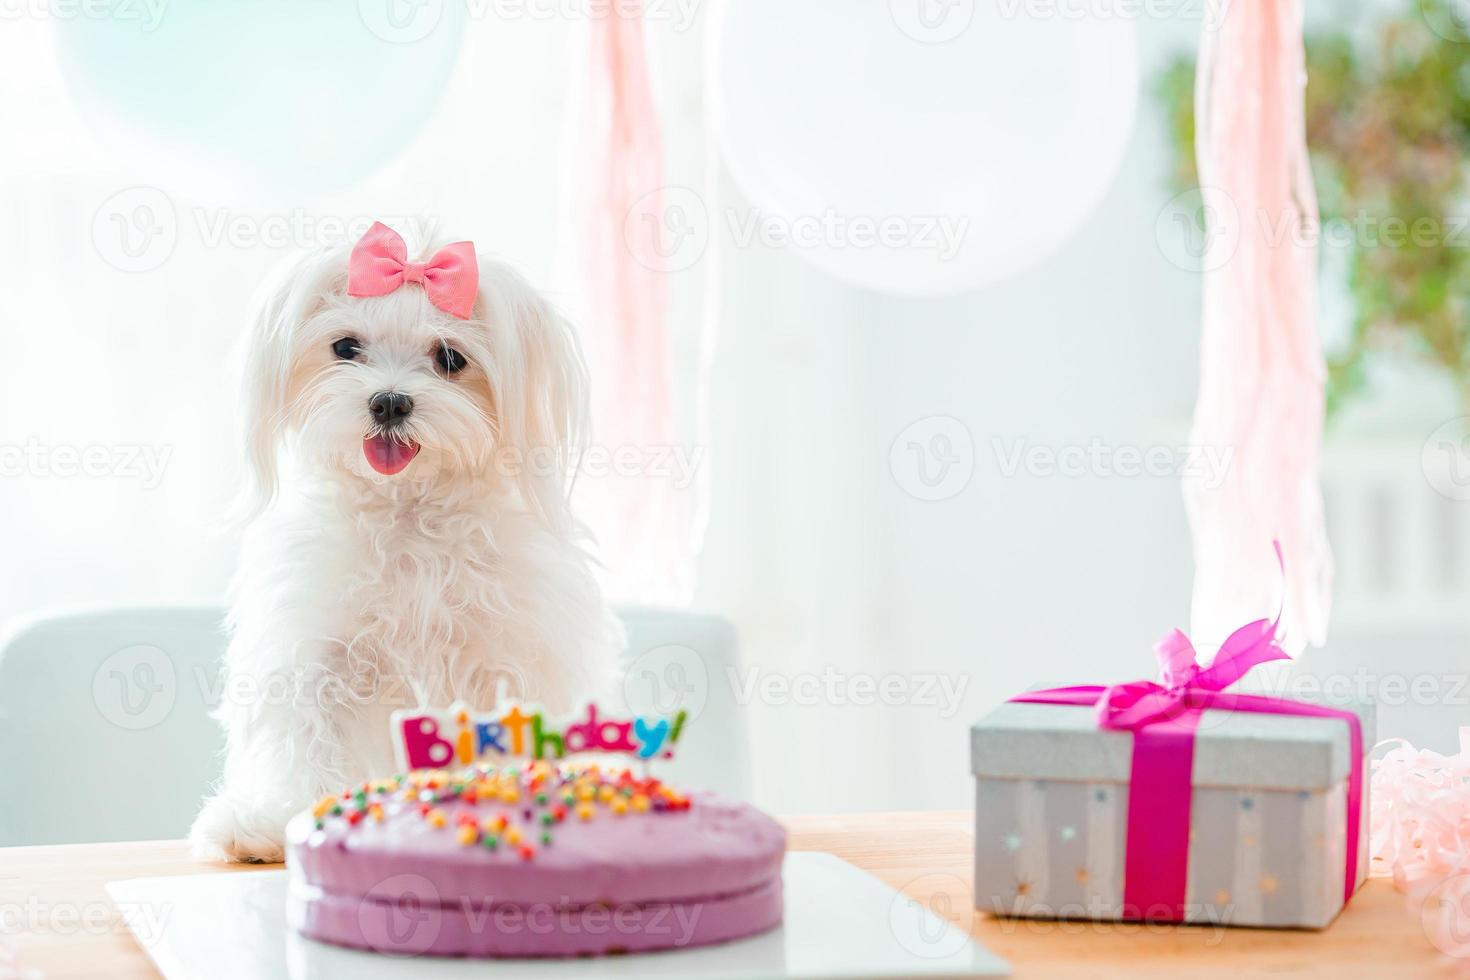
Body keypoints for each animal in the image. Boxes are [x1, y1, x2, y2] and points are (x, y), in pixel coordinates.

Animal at [188, 220, 614, 858]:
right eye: (345, 348)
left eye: (450, 358)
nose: (389, 401)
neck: (408, 513)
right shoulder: (315, 650)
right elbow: (302, 732)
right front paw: (272, 816)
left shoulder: (509, 657)